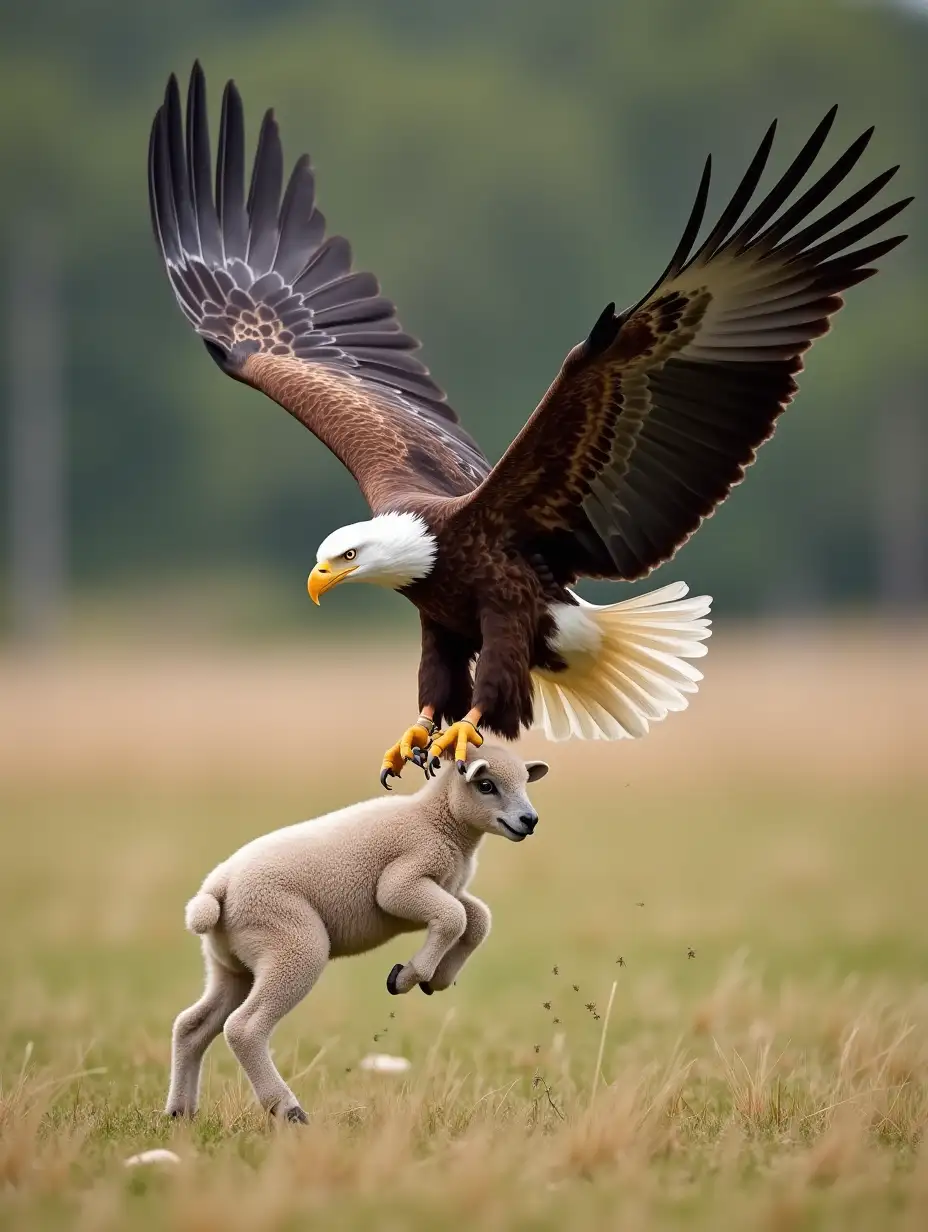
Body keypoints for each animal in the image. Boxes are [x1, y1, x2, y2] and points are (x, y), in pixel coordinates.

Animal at [163, 739, 547, 1128]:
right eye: (486, 785)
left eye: (524, 783)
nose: (529, 820)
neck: (438, 822)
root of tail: (217, 888)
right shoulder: (402, 882)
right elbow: (454, 917)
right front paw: (409, 976)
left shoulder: (449, 889)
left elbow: (477, 918)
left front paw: (438, 978)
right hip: (293, 943)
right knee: (243, 1028)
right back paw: (289, 1110)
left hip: (231, 966)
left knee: (192, 1026)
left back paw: (180, 1113)